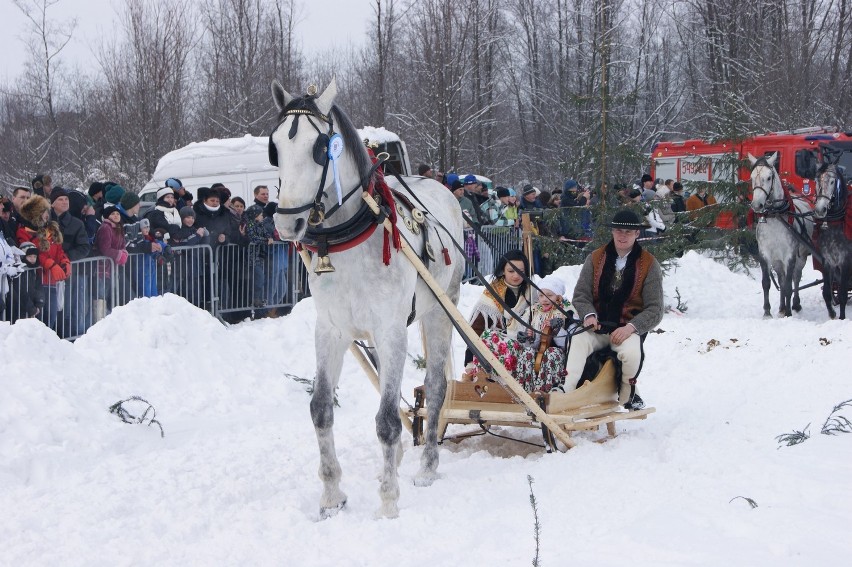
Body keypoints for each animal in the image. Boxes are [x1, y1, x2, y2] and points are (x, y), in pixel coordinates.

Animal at [270, 79, 462, 520]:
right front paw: (331, 497)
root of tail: (437, 184)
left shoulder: (392, 331)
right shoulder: (332, 330)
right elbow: (321, 409)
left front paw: (389, 503)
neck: (348, 241)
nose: (287, 224)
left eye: (320, 146)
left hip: (439, 311)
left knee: (436, 387)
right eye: (275, 147)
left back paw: (427, 467)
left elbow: (388, 420)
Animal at [748, 153, 816, 318]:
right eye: (752, 178)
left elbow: (789, 285)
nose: (757, 205)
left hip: (801, 255)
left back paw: (795, 304)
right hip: (777, 260)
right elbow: (767, 283)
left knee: (796, 277)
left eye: (769, 177)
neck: (775, 217)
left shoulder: (790, 255)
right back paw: (781, 307)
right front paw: (767, 312)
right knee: (781, 278)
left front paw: (789, 313)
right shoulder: (765, 253)